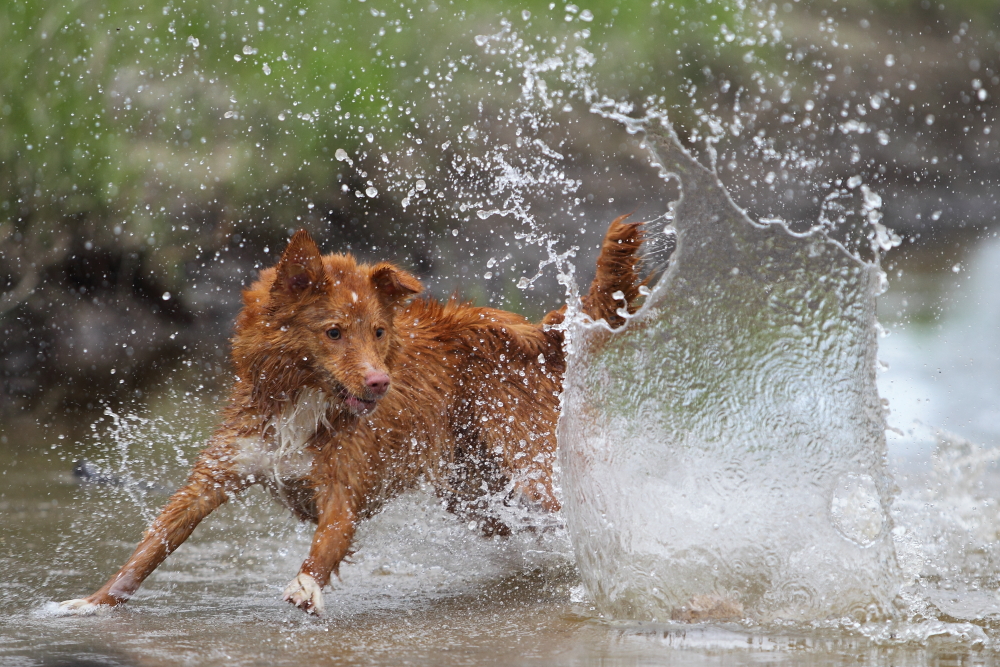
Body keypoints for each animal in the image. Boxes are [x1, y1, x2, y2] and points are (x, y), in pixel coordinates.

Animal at [58, 218, 644, 616]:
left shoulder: (343, 488)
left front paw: (305, 587)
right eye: (334, 331)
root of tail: (529, 330)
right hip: (471, 491)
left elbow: (326, 543)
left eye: (379, 331)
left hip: (532, 461)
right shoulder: (222, 470)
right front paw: (94, 602)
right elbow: (153, 544)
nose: (380, 382)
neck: (303, 404)